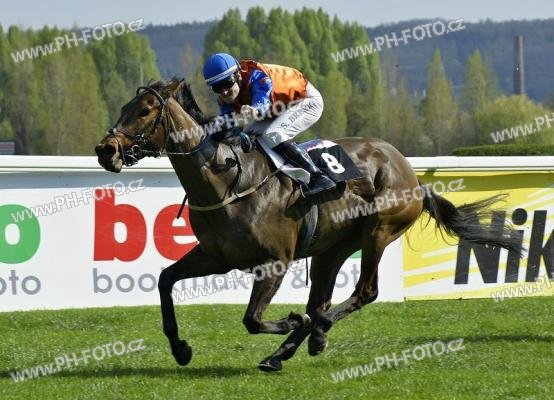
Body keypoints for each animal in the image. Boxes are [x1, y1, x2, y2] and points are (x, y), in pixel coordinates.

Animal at [94, 78, 521, 372]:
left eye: (145, 110)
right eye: (124, 106)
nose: (105, 150)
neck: (228, 178)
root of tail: (413, 175)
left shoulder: (274, 263)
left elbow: (252, 319)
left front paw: (290, 322)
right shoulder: (216, 257)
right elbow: (166, 279)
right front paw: (181, 348)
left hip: (379, 232)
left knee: (363, 293)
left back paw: (307, 334)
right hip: (331, 249)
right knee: (322, 301)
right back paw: (294, 345)